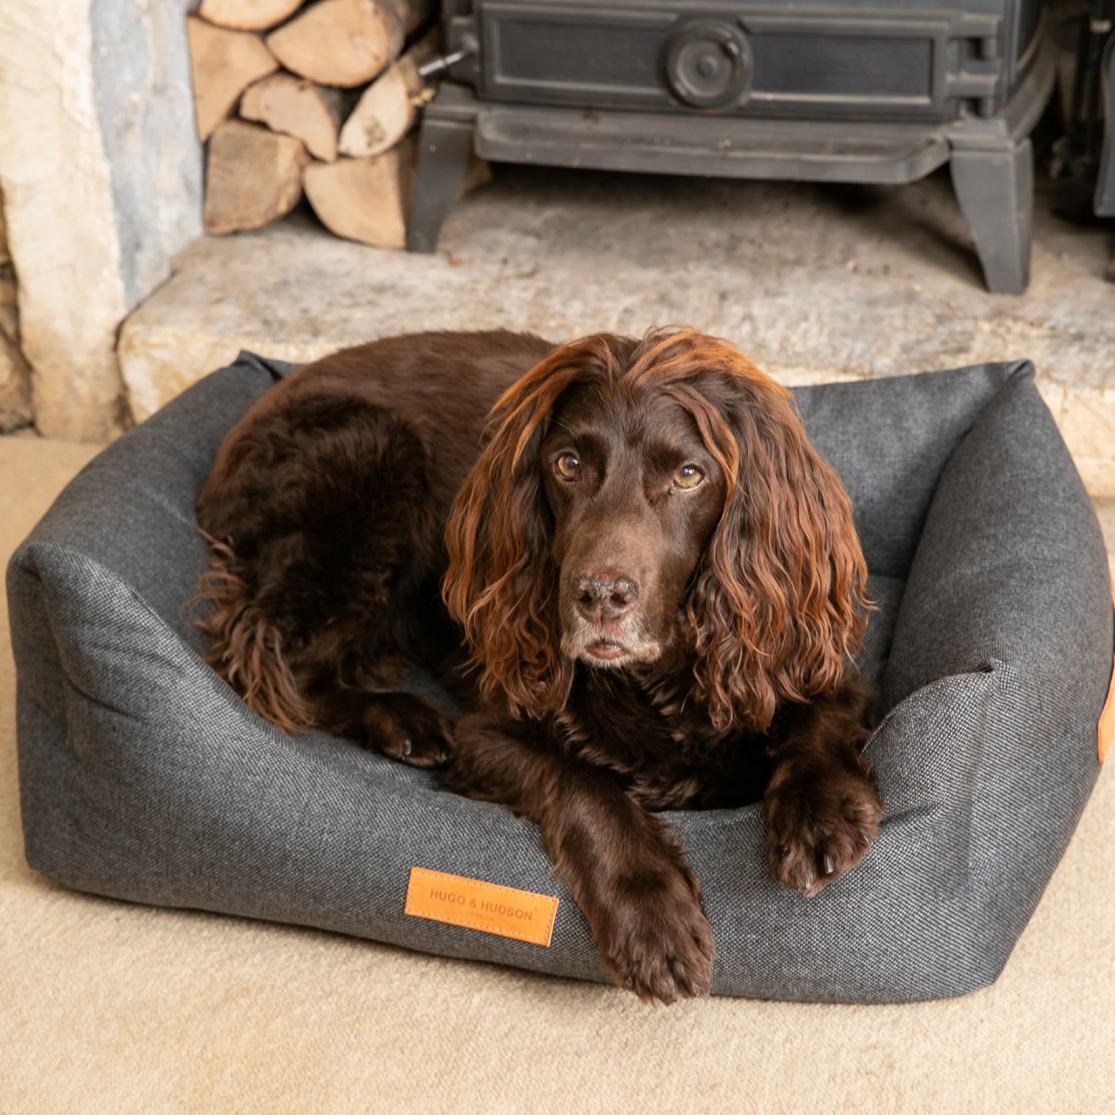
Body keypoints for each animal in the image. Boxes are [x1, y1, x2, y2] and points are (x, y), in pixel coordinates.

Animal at [196, 325, 883, 1007]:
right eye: (568, 465)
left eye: (690, 474)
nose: (599, 596)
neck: (658, 681)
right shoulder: (489, 731)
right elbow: (583, 784)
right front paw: (651, 915)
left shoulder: (801, 660)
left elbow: (821, 722)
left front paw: (819, 814)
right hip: (373, 454)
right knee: (280, 661)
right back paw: (403, 721)